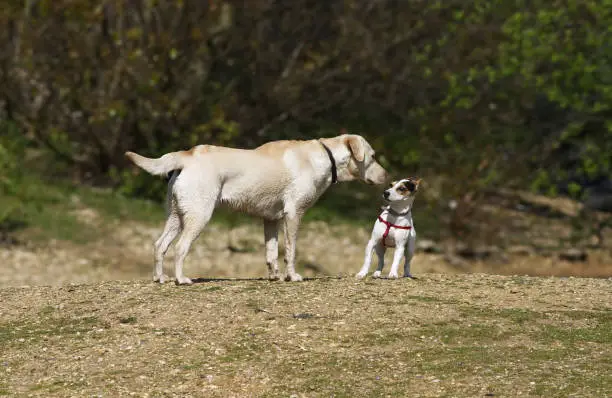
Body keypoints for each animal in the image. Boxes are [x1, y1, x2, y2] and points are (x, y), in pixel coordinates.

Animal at [124, 135, 388, 284]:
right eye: (373, 156)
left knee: (159, 246)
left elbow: (271, 254)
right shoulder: (294, 214)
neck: (327, 157)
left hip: (176, 216)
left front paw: (275, 277)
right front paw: (292, 276)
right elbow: (290, 251)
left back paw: (160, 278)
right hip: (198, 216)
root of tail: (187, 155)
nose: (387, 176)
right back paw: (181, 279)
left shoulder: (270, 219)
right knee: (180, 248)